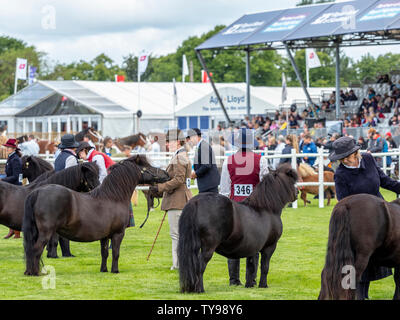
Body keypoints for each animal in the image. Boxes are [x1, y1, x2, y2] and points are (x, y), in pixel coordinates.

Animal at [23, 155, 170, 276]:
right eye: (148, 167)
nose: (167, 174)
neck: (113, 197)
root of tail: (37, 192)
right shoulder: (118, 234)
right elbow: (116, 253)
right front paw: (115, 271)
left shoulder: (104, 236)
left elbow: (104, 253)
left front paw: (103, 270)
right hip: (46, 232)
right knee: (36, 250)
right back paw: (35, 273)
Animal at [177, 164, 296, 294]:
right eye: (292, 181)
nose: (297, 193)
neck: (267, 208)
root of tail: (196, 201)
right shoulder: (269, 247)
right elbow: (264, 267)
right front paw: (263, 285)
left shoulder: (252, 247)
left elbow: (251, 266)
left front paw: (250, 285)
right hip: (208, 246)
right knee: (200, 266)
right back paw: (200, 290)